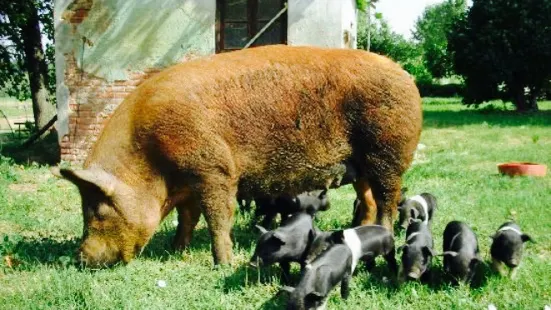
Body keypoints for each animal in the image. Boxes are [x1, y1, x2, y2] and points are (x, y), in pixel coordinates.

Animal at [55, 44, 422, 268]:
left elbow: (218, 218)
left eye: (98, 210)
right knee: (369, 200)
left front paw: (223, 264)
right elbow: (187, 218)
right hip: (361, 166)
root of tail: (406, 75)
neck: (152, 162)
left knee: (388, 200)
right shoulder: (189, 185)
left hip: (388, 153)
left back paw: (384, 234)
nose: (78, 258)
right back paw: (359, 231)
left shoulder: (214, 169)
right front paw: (176, 250)